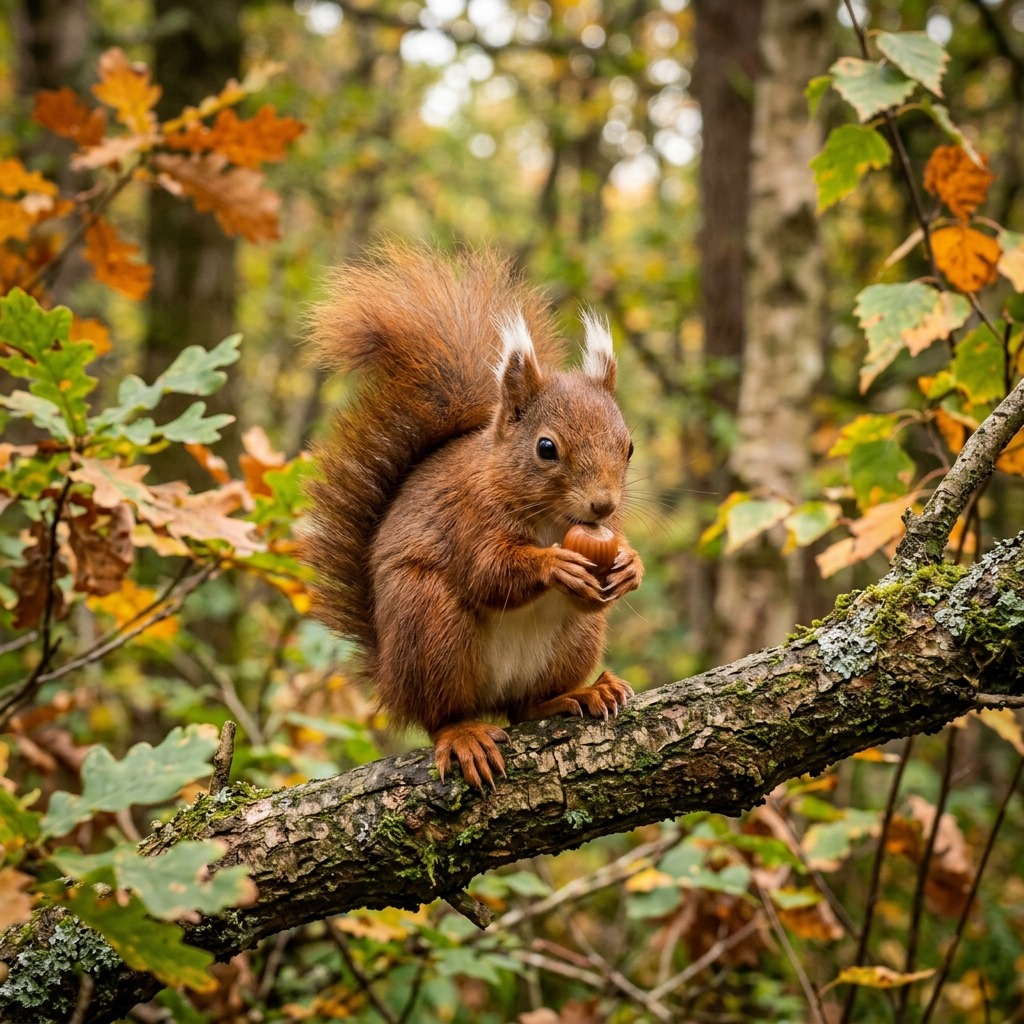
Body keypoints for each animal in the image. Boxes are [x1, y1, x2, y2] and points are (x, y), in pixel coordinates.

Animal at [303, 241, 644, 789]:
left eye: (628, 446)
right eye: (546, 448)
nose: (604, 504)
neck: (551, 521)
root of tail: (391, 679)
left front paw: (630, 565)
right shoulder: (468, 514)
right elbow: (487, 571)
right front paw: (554, 565)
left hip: (576, 640)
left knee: (525, 706)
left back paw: (580, 693)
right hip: (429, 624)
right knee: (442, 714)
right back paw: (463, 734)